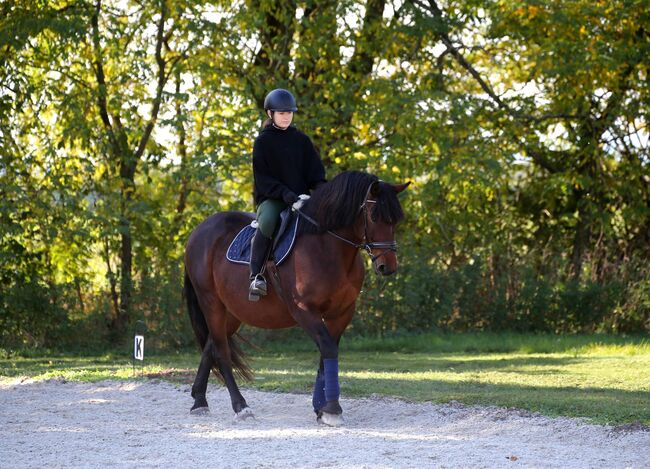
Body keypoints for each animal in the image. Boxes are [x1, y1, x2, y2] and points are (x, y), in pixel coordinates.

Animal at [183, 170, 408, 426]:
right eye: (373, 215)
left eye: (396, 219)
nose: (387, 266)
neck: (328, 248)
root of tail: (200, 230)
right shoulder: (304, 310)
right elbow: (328, 348)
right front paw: (332, 409)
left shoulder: (342, 312)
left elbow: (327, 352)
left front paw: (321, 407)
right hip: (212, 303)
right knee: (221, 352)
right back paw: (241, 406)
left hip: (231, 311)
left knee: (210, 345)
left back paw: (199, 401)